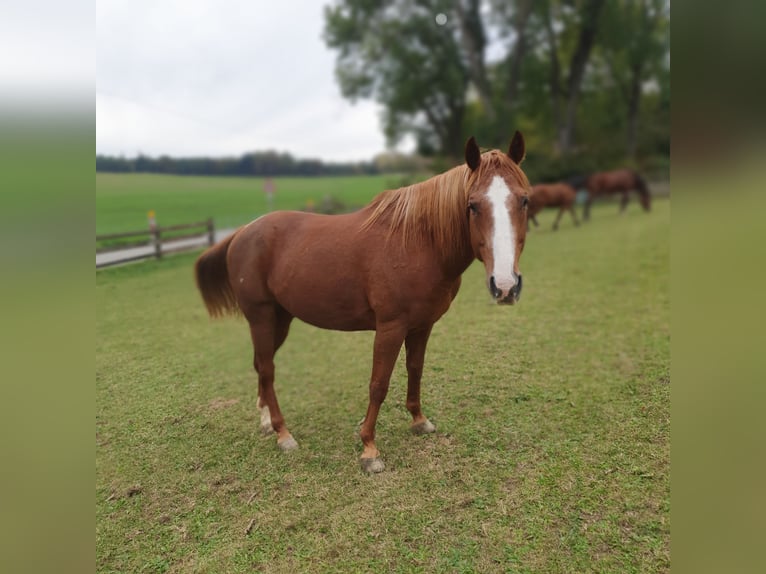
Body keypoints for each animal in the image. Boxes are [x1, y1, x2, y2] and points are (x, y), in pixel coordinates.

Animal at [196, 134, 536, 472]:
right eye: (473, 205)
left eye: (524, 200)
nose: (505, 286)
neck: (418, 242)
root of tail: (242, 232)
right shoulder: (390, 327)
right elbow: (379, 384)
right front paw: (369, 448)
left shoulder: (422, 325)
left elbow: (415, 370)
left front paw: (418, 420)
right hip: (261, 317)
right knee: (267, 369)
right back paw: (283, 433)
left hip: (280, 319)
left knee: (260, 364)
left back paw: (267, 422)